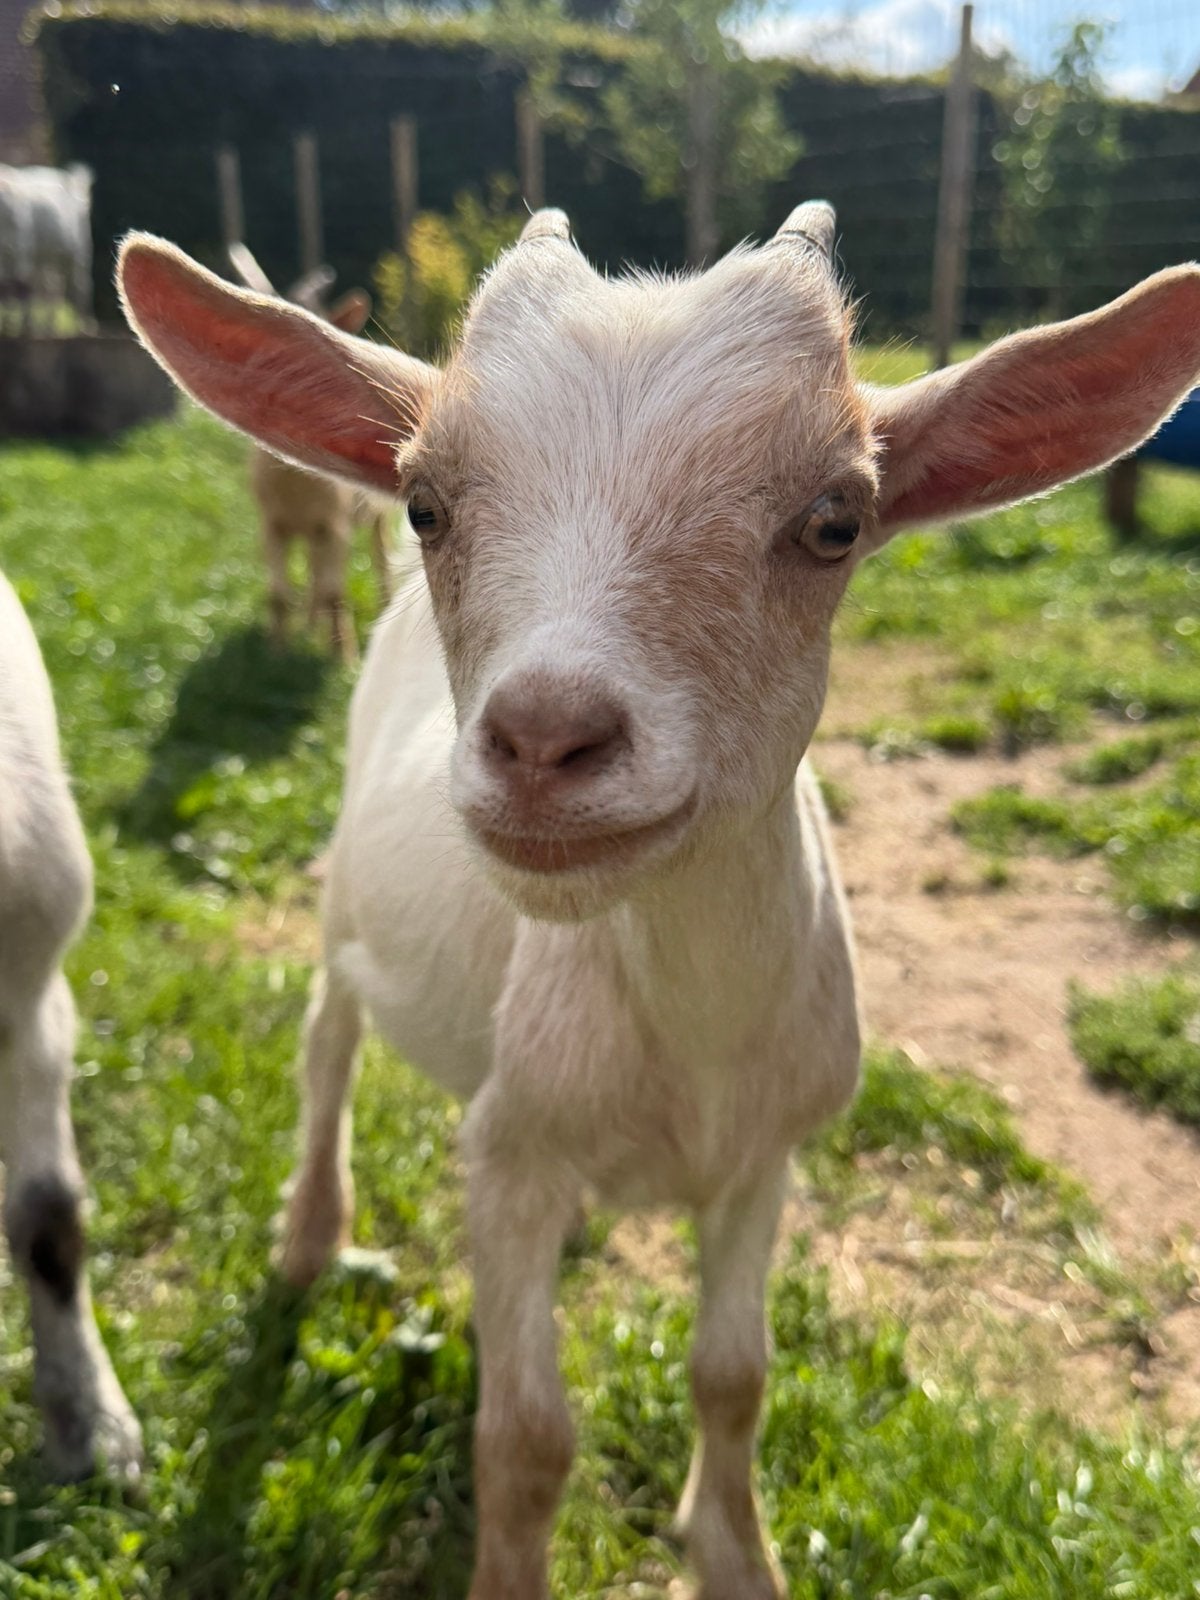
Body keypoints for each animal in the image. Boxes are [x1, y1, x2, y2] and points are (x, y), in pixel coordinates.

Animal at [0, 164, 92, 333]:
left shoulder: (21, 251)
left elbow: (18, 290)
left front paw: (16, 327)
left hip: (79, 251)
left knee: (81, 285)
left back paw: (85, 325)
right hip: (47, 258)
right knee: (51, 287)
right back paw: (46, 326)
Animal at [226, 244, 393, 662]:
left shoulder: (335, 523)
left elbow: (335, 592)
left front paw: (344, 657)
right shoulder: (271, 523)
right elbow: (278, 593)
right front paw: (277, 653)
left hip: (374, 515)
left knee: (379, 555)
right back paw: (311, 627)